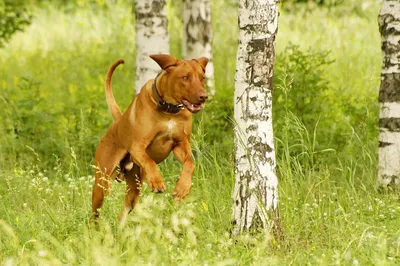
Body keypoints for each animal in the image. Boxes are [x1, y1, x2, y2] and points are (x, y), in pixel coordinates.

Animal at [91, 54, 209, 224]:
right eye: (185, 77)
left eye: (202, 78)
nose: (204, 96)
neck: (169, 110)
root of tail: (117, 123)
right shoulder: (137, 147)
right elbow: (149, 161)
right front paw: (156, 181)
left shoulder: (181, 144)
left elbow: (190, 163)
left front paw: (182, 187)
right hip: (102, 185)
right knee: (94, 215)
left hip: (133, 189)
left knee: (122, 214)